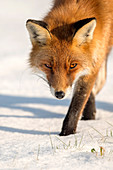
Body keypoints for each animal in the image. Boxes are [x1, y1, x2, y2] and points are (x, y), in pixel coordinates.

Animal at [26, 0, 113, 135]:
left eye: (73, 65)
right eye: (48, 65)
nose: (60, 94)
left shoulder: (93, 63)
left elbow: (76, 106)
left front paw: (67, 134)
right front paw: (88, 119)